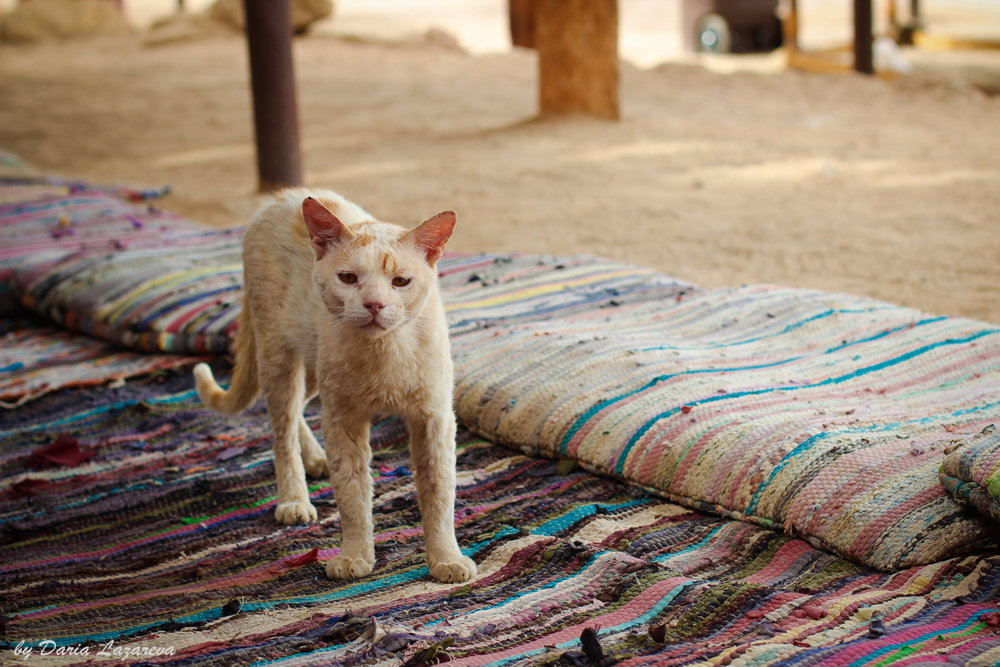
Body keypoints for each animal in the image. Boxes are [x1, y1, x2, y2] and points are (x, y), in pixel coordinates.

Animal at [197, 189, 478, 584]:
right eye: (348, 278)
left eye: (400, 282)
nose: (374, 304)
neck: (383, 352)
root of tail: (279, 197)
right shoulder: (343, 419)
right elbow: (352, 492)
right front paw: (355, 555)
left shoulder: (434, 418)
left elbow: (439, 492)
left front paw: (446, 559)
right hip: (279, 358)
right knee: (281, 431)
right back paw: (295, 498)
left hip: (312, 367)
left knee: (296, 411)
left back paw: (315, 458)